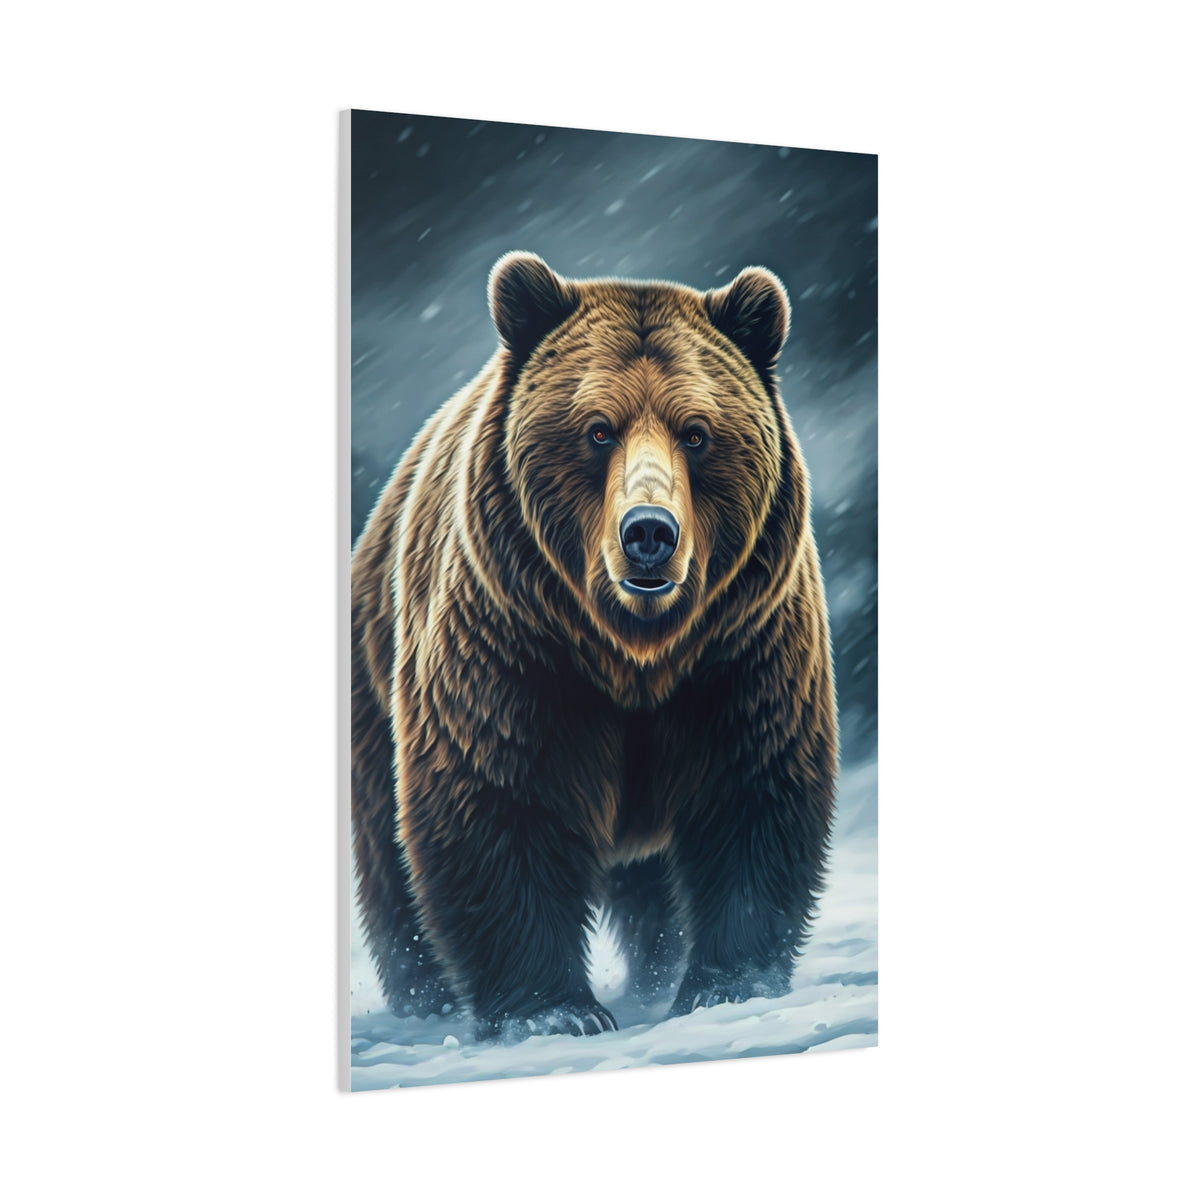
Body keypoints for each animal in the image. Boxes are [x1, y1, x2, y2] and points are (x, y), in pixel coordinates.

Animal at [351, 252, 837, 1040]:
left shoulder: (742, 649)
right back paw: (424, 1001)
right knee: (391, 871)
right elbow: (498, 801)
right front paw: (554, 1012)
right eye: (597, 429)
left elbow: (752, 793)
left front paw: (726, 987)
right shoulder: (511, 646)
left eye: (696, 432)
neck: (633, 653)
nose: (649, 533)